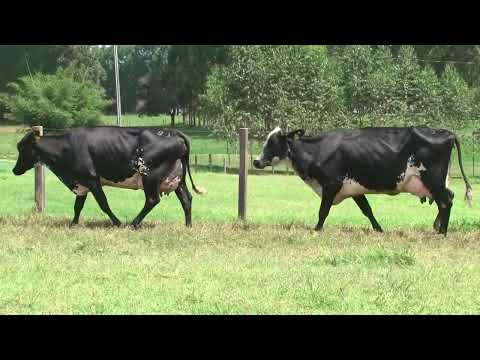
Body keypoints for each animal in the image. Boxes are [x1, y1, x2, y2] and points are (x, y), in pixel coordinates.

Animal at [13, 126, 204, 228]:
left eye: (22, 148)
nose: (14, 170)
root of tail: (172, 131)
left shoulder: (92, 180)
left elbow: (103, 204)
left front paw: (117, 222)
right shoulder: (82, 183)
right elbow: (78, 206)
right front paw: (73, 224)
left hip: (150, 176)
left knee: (152, 200)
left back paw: (133, 224)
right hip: (177, 180)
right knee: (186, 199)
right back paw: (188, 226)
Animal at [255, 127, 472, 236]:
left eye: (273, 142)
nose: (256, 161)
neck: (318, 150)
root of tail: (445, 132)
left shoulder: (331, 184)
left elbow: (323, 211)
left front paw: (316, 230)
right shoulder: (355, 189)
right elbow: (367, 210)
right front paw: (379, 229)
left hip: (433, 179)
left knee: (446, 201)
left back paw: (442, 232)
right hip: (437, 182)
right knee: (446, 199)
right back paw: (437, 227)